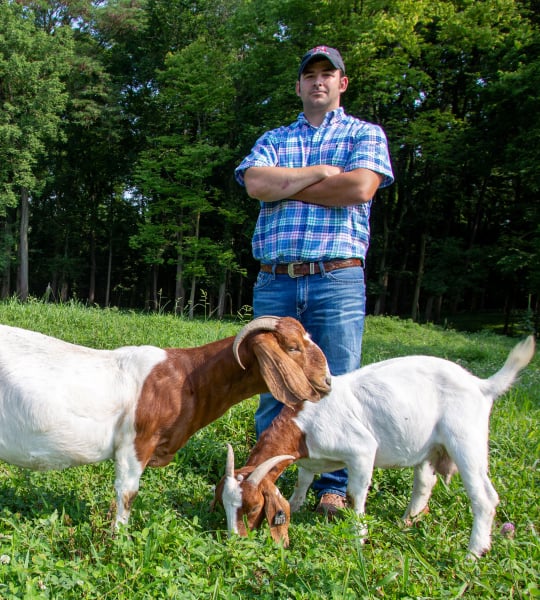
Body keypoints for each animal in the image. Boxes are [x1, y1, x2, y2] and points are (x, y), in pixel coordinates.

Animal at [0, 316, 330, 528]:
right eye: (293, 347)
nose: (327, 381)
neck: (186, 378)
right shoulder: (136, 443)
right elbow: (127, 493)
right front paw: (118, 538)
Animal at [216, 336, 536, 556]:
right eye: (225, 505)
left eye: (254, 507)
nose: (235, 540)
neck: (304, 421)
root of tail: (481, 385)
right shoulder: (310, 459)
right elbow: (302, 481)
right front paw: (296, 505)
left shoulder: (361, 452)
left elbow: (356, 494)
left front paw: (358, 536)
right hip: (431, 447)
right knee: (424, 484)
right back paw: (407, 523)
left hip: (466, 440)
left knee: (484, 497)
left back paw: (473, 553)